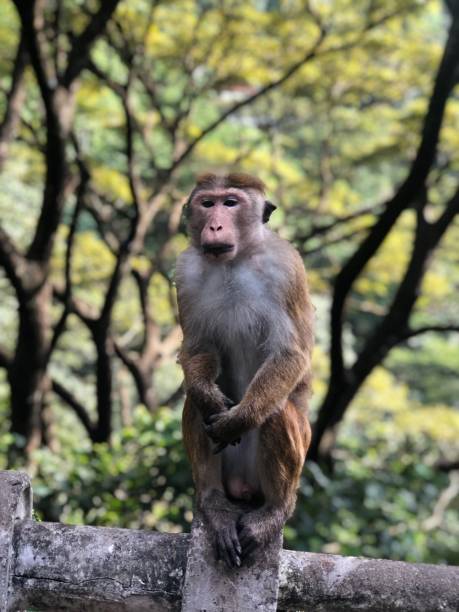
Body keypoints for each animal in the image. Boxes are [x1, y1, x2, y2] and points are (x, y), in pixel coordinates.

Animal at [174, 172, 314, 568]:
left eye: (231, 203)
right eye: (208, 203)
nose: (215, 225)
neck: (234, 262)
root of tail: (243, 488)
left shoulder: (286, 269)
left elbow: (289, 354)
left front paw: (240, 418)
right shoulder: (186, 271)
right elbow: (198, 348)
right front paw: (208, 396)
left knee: (277, 410)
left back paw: (274, 512)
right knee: (193, 403)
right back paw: (214, 503)